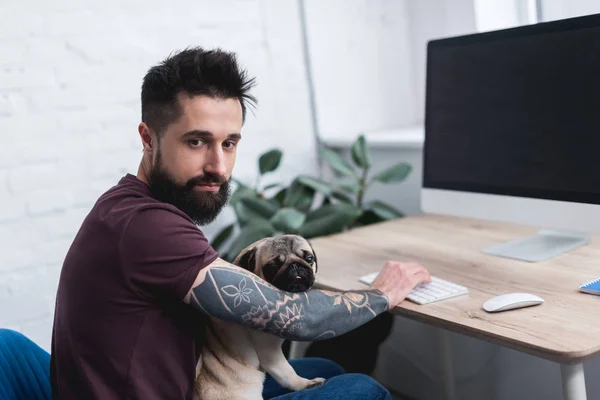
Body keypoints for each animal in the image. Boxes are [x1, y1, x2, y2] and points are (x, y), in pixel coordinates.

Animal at [193, 234, 326, 400]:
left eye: (309, 258)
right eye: (273, 266)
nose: (295, 265)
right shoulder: (270, 352)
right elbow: (288, 373)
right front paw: (306, 384)